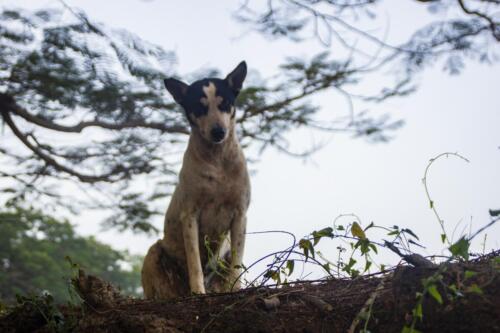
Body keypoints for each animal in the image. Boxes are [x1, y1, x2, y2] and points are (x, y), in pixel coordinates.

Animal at [141, 61, 250, 298]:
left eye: (225, 104)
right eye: (200, 108)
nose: (219, 131)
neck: (217, 161)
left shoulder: (240, 214)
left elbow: (237, 263)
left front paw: (236, 289)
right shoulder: (190, 215)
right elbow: (195, 264)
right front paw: (198, 291)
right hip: (154, 254)